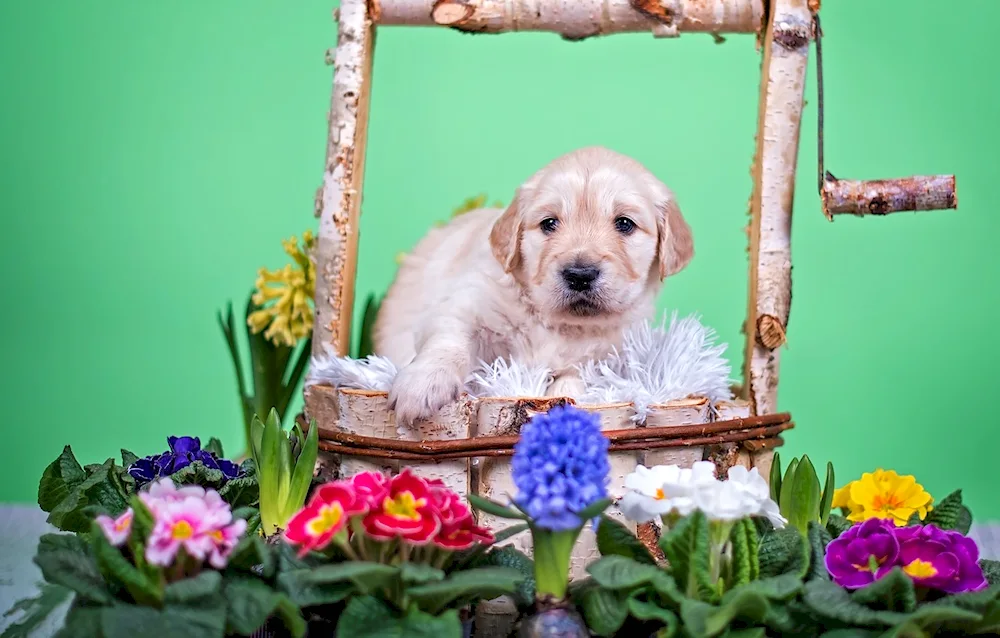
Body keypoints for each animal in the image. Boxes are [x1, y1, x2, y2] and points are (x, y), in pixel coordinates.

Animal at [372, 145, 692, 424]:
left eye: (624, 224)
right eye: (549, 223)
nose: (580, 274)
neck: (561, 325)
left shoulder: (612, 357)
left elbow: (576, 380)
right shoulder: (469, 303)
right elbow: (449, 340)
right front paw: (422, 385)